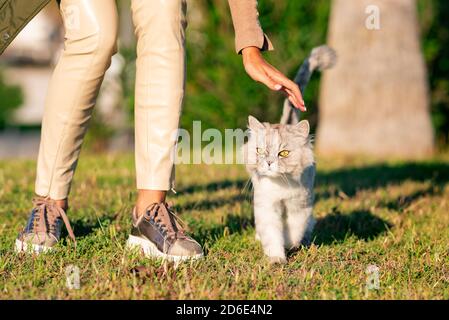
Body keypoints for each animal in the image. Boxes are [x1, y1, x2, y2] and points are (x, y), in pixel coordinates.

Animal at [243, 45, 334, 264]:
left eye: (283, 153)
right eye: (260, 151)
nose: (269, 163)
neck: (281, 185)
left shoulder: (299, 206)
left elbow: (294, 230)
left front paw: (290, 245)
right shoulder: (267, 207)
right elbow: (272, 235)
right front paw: (277, 258)